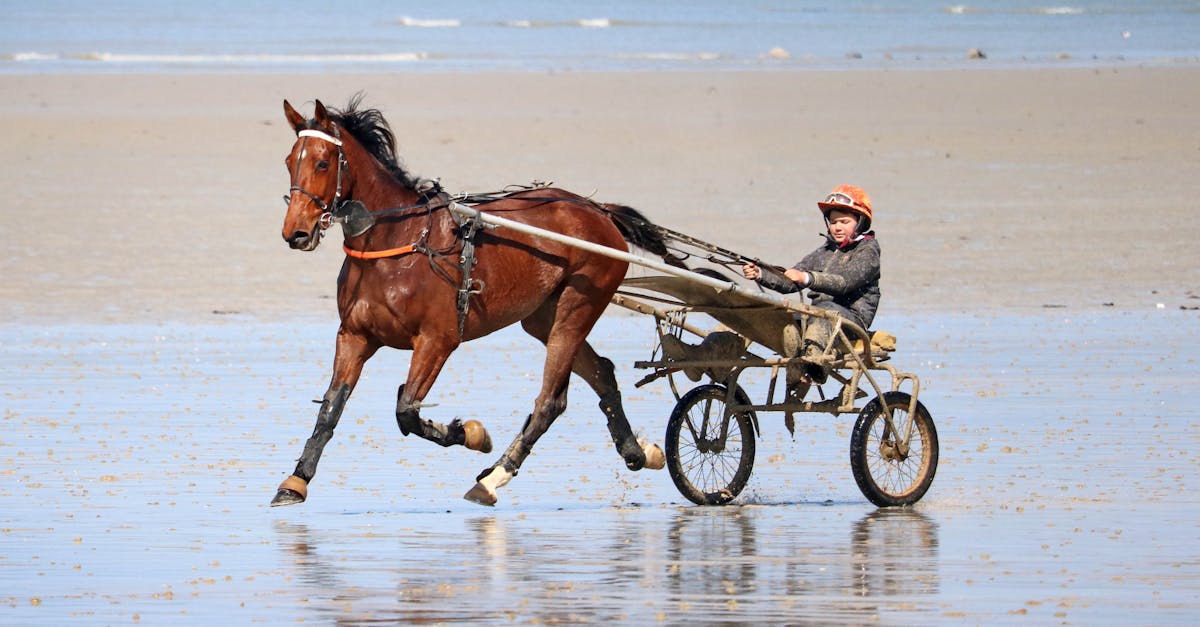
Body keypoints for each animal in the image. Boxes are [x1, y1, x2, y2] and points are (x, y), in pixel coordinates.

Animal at [272, 96, 673, 507]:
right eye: (289, 161)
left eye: (323, 162)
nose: (295, 233)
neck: (399, 243)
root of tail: (598, 210)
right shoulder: (354, 335)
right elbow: (330, 409)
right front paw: (296, 480)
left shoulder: (437, 340)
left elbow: (407, 411)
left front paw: (471, 434)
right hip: (542, 318)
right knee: (601, 372)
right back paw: (638, 451)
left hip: (577, 308)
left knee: (549, 401)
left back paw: (493, 476)